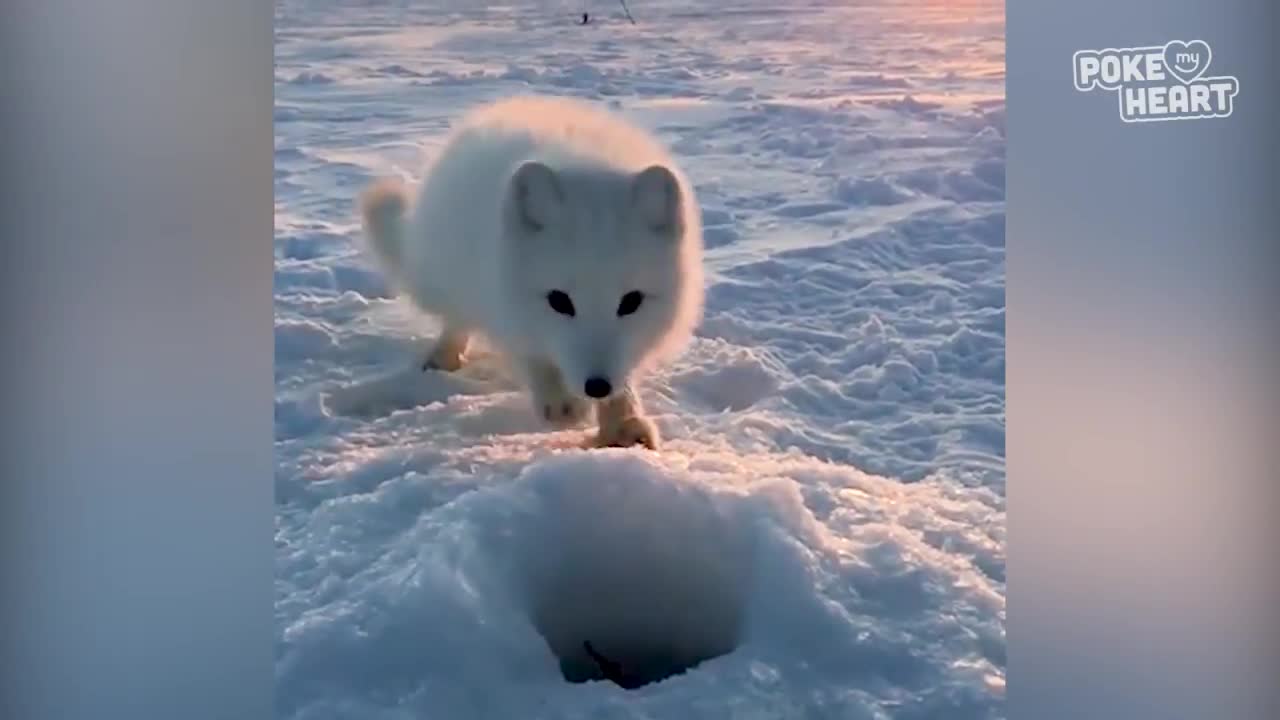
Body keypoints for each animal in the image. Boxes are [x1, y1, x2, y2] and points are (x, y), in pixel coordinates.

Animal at [355, 94, 706, 443]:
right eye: (559, 301)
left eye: (631, 301)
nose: (596, 386)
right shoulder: (505, 305)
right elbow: (534, 356)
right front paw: (561, 402)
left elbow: (625, 378)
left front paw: (623, 423)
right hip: (448, 278)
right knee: (456, 319)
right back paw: (444, 356)